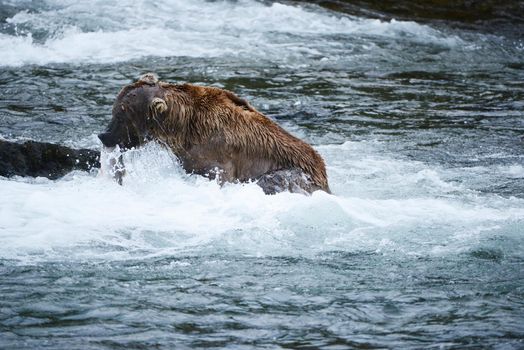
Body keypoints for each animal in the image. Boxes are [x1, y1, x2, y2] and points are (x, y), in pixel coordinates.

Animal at [97, 73, 328, 194]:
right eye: (114, 110)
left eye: (120, 116)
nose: (103, 135)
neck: (180, 128)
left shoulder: (219, 154)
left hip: (296, 174)